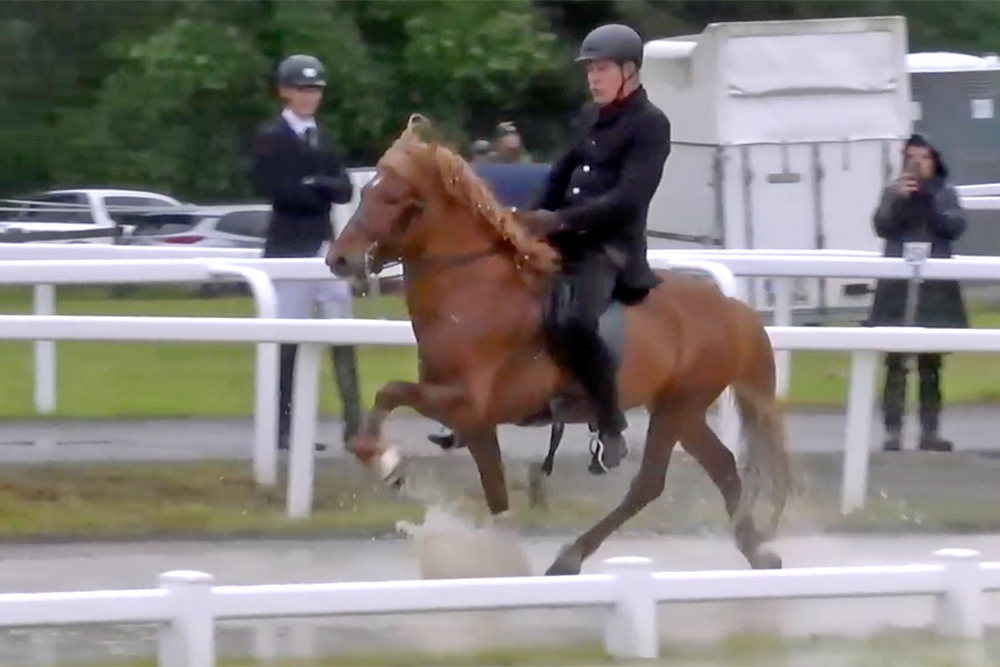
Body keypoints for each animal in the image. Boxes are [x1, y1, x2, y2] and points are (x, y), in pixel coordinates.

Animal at [326, 115, 788, 576]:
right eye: (364, 191)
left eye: (391, 196)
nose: (339, 260)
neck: (474, 290)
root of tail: (733, 310)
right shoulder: (475, 423)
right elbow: (495, 494)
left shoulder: (466, 402)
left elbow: (391, 391)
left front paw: (387, 463)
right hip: (681, 410)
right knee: (722, 467)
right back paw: (757, 551)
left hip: (679, 406)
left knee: (649, 484)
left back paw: (570, 557)